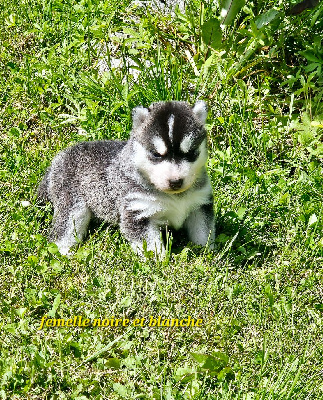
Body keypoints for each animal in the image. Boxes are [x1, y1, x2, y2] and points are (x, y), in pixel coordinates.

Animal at [38, 101, 215, 256]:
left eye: (190, 153)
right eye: (156, 154)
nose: (176, 181)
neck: (174, 197)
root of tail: (58, 158)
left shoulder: (200, 203)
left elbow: (204, 231)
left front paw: (207, 252)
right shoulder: (137, 209)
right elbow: (149, 244)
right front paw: (159, 262)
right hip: (71, 200)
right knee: (65, 226)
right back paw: (64, 252)